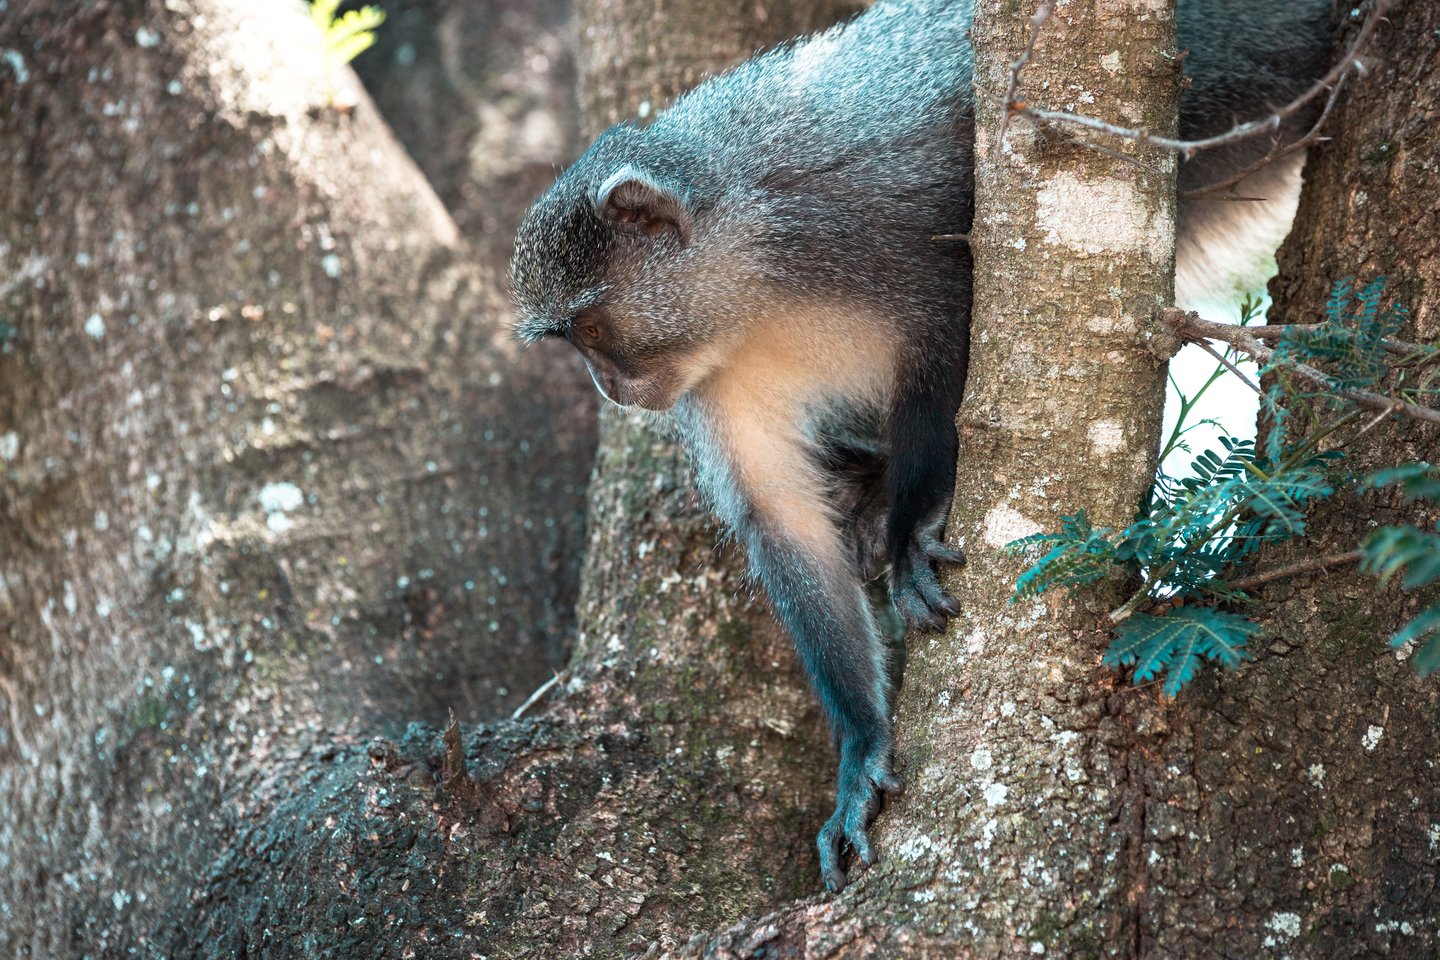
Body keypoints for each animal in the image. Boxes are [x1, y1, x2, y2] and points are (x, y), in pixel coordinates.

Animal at [510, 0, 1334, 891]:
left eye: (592, 330)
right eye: (573, 343)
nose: (608, 387)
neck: (752, 272)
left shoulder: (872, 219)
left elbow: (956, 334)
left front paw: (913, 523)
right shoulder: (712, 382)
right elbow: (782, 518)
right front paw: (861, 749)